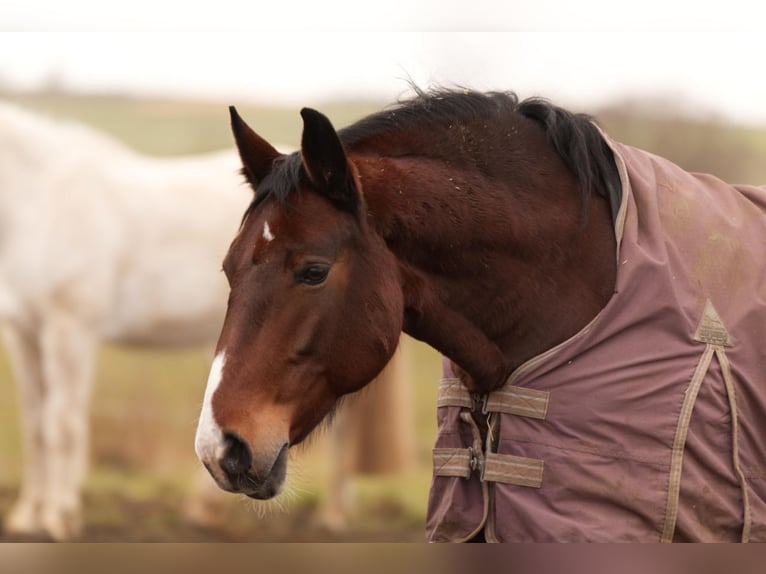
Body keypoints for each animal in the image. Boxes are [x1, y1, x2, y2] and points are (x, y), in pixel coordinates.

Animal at [0, 104, 414, 544]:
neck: (43, 200)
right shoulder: (23, 333)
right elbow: (35, 424)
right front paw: (28, 515)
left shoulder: (70, 330)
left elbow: (61, 425)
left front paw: (60, 517)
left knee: (342, 427)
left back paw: (333, 514)